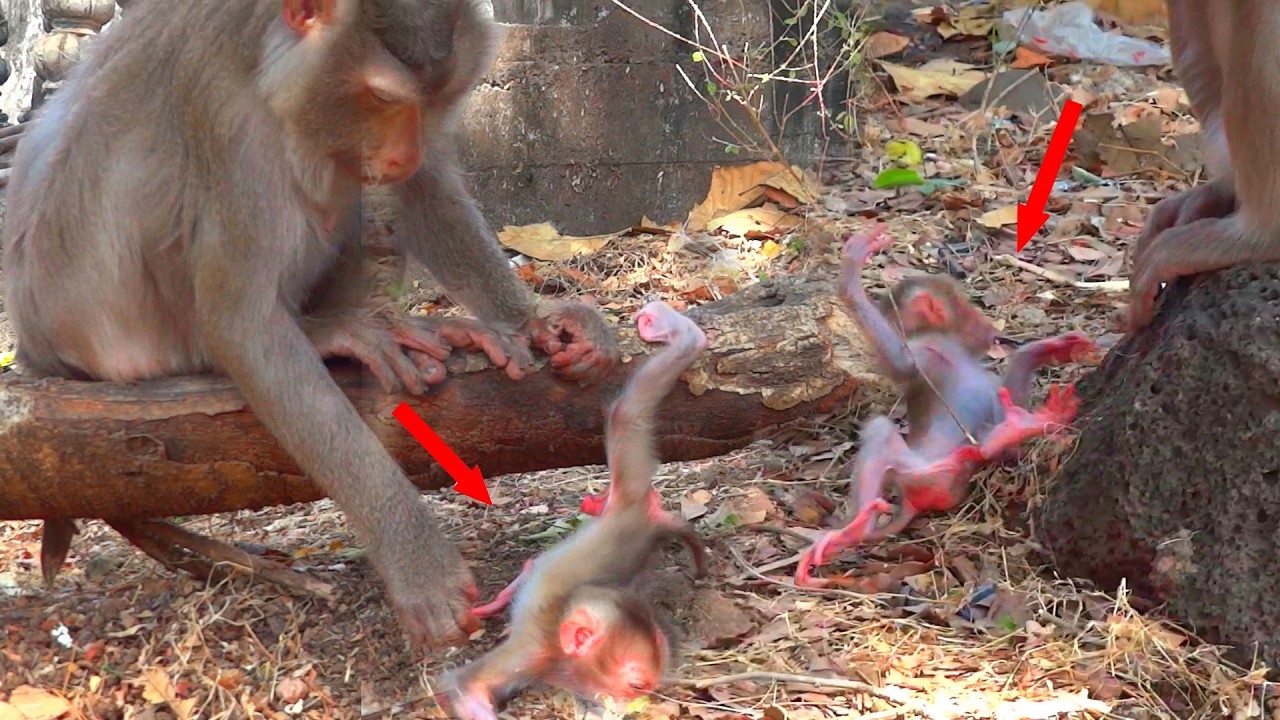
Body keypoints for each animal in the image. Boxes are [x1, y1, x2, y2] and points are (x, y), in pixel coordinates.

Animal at [4, 0, 620, 648]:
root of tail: (36, 349)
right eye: (381, 96)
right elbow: (241, 323)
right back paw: (335, 330)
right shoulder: (226, 122)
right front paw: (417, 563)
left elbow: (424, 187)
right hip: (137, 347)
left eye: (441, 95)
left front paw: (539, 321)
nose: (402, 151)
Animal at [441, 301, 708, 720]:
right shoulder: (531, 651)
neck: (558, 652)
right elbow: (465, 688)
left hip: (627, 494)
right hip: (629, 492)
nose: (635, 704)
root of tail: (647, 520)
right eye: (636, 684)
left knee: (626, 414)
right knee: (627, 414)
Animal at [794, 228, 1097, 587]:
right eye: (967, 309)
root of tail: (913, 500)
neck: (959, 350)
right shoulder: (925, 347)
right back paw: (857, 529)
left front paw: (1044, 349)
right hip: (914, 470)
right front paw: (851, 274)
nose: (989, 329)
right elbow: (902, 366)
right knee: (884, 430)